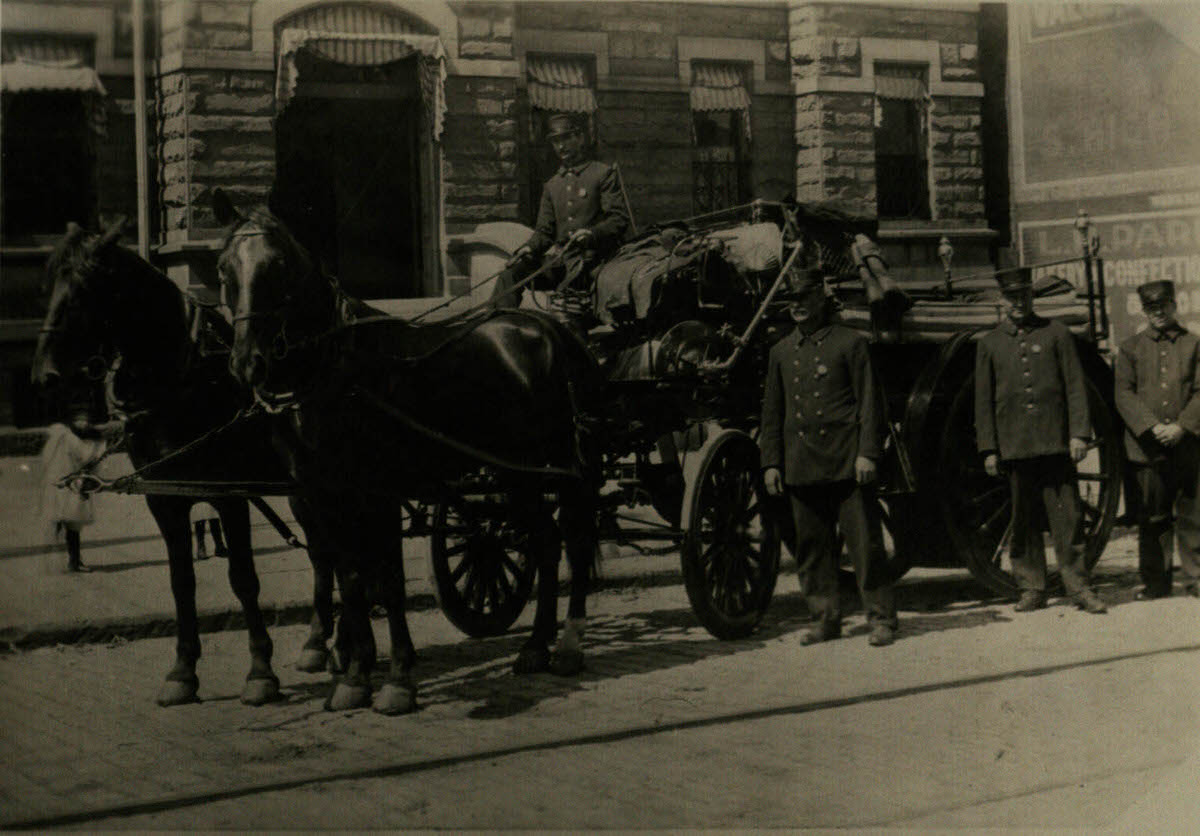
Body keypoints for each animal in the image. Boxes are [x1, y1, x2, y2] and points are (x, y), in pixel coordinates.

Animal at [32, 220, 340, 705]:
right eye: (48, 286)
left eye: (82, 290)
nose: (43, 374)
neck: (183, 378)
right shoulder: (165, 499)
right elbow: (182, 582)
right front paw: (182, 671)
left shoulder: (230, 495)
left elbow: (243, 578)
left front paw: (260, 671)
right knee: (324, 551)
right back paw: (316, 643)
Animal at [212, 190, 604, 719]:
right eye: (224, 269)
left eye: (278, 266)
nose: (246, 362)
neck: (335, 371)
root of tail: (551, 328)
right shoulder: (322, 495)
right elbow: (351, 579)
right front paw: (355, 678)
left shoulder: (378, 493)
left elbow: (388, 582)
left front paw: (397, 680)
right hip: (515, 473)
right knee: (544, 541)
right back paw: (535, 646)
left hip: (560, 467)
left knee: (574, 541)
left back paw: (567, 645)